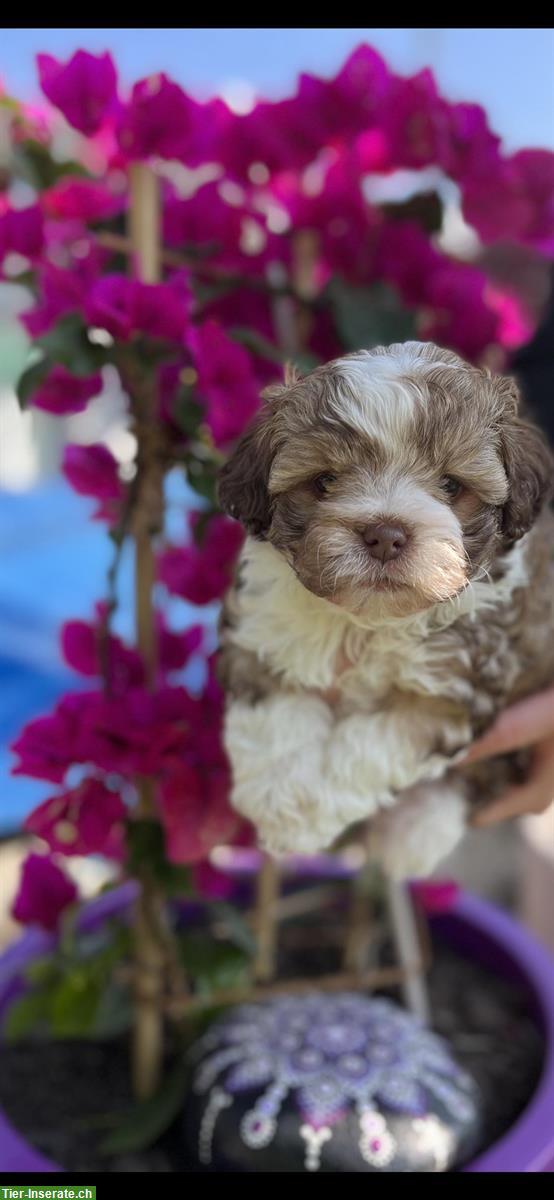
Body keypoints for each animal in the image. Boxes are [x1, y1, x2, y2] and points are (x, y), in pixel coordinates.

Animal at [215, 343, 554, 878]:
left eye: (452, 486)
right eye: (325, 481)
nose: (385, 534)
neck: (368, 620)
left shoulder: (452, 689)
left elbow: (371, 746)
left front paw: (310, 810)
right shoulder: (260, 635)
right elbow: (277, 717)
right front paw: (284, 806)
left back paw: (414, 828)